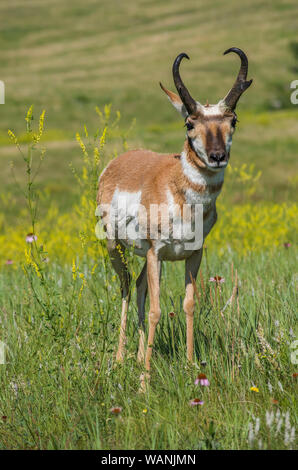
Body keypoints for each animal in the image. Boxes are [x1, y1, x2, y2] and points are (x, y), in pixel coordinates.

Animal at [98, 46, 251, 382]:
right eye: (189, 124)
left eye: (233, 121)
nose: (217, 156)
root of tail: (118, 161)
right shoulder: (156, 252)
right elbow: (156, 311)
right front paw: (145, 381)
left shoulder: (193, 254)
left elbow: (189, 304)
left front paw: (191, 365)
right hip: (116, 248)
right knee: (126, 286)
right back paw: (120, 359)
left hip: (145, 258)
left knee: (139, 286)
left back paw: (138, 355)